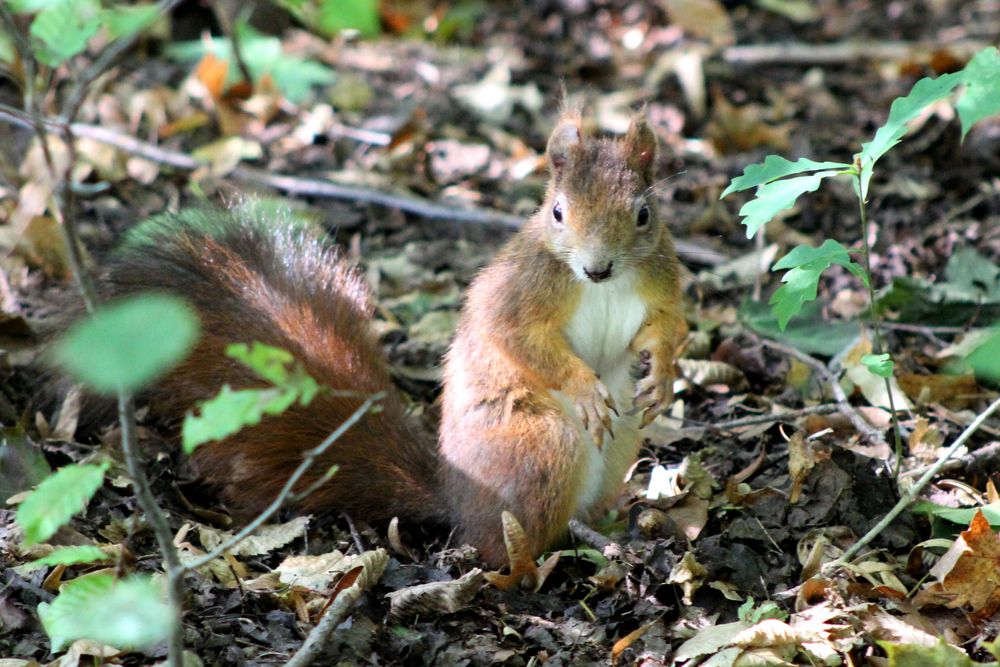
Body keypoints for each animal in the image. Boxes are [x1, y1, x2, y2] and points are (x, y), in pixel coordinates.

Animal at [105, 112, 688, 568]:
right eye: (558, 212)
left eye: (643, 214)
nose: (597, 268)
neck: (604, 286)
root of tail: (455, 495)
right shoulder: (519, 294)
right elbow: (517, 339)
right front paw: (584, 385)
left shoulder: (661, 284)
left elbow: (671, 328)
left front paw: (661, 375)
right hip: (540, 445)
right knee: (497, 546)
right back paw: (538, 561)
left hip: (624, 437)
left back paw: (610, 523)